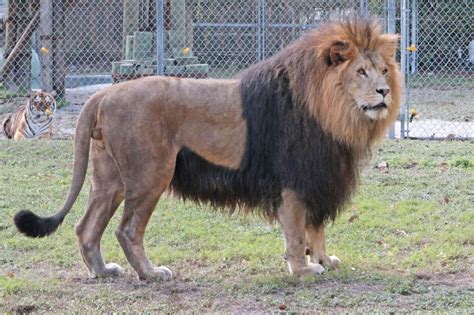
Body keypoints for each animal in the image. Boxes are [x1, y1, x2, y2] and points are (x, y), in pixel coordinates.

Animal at [13, 18, 400, 282]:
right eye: (361, 72)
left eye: (383, 70)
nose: (384, 91)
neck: (335, 113)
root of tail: (104, 94)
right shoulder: (294, 179)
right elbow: (295, 231)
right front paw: (302, 269)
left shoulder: (319, 178)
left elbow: (316, 229)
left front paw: (322, 260)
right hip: (150, 175)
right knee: (127, 230)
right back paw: (151, 274)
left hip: (110, 180)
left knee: (85, 228)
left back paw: (104, 271)